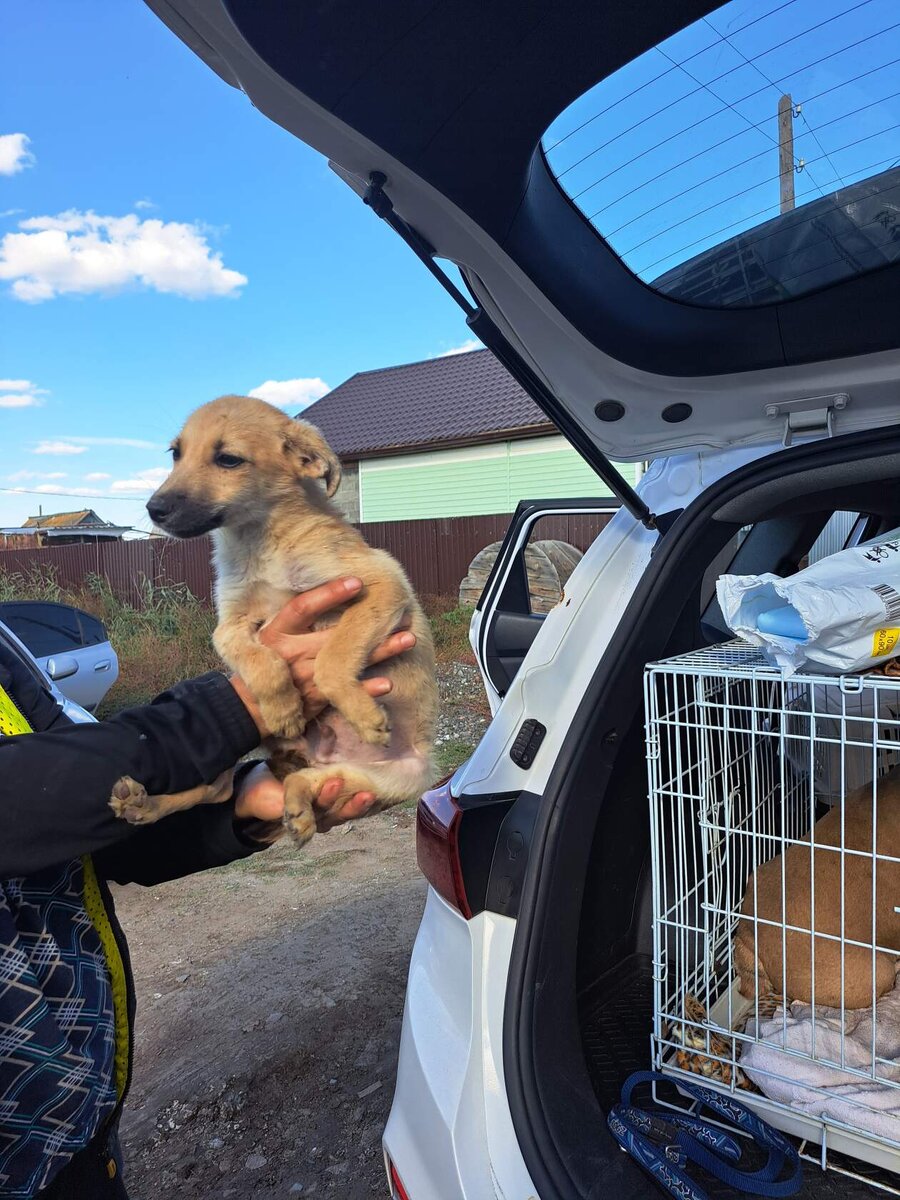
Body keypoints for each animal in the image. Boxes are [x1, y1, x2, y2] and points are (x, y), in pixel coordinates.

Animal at [107, 396, 439, 844]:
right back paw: (144, 804)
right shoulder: (229, 621)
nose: (153, 509)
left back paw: (299, 810)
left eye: (228, 459)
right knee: (216, 791)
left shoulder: (381, 582)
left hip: (389, 778)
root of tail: (311, 756)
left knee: (293, 783)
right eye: (176, 454)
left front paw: (360, 712)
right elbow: (251, 655)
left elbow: (332, 658)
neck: (259, 542)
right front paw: (282, 706)